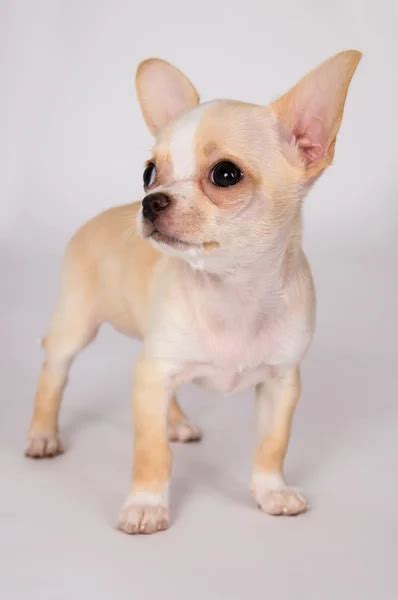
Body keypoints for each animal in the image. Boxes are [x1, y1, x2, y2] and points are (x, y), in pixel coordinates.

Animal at [24, 51, 360, 536]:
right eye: (149, 173)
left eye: (226, 174)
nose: (150, 201)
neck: (230, 291)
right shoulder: (152, 375)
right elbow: (151, 454)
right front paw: (146, 504)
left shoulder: (281, 383)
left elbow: (272, 444)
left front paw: (271, 491)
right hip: (76, 325)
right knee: (54, 373)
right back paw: (43, 433)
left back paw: (177, 423)